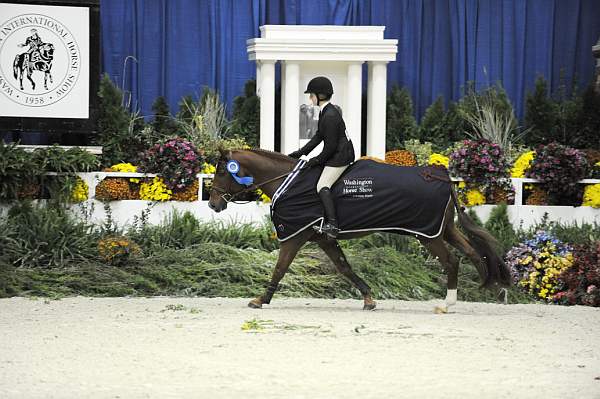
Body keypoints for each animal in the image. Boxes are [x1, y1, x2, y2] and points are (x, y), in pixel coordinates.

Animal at [207, 148, 510, 314]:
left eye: (222, 172)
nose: (213, 204)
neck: (288, 182)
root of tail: (442, 177)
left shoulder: (294, 236)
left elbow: (280, 268)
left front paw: (261, 299)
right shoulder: (323, 238)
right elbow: (345, 268)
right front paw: (368, 298)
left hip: (427, 235)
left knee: (452, 261)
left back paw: (448, 304)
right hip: (442, 230)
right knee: (473, 252)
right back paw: (491, 289)